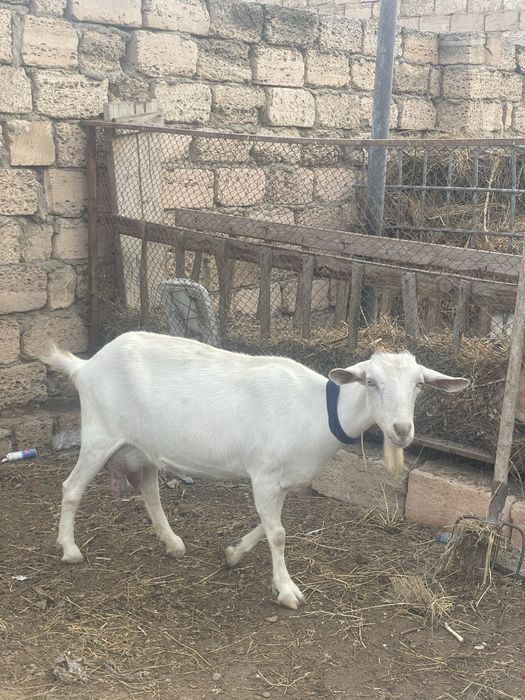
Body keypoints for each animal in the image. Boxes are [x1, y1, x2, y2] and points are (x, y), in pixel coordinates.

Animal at [42, 332, 469, 609]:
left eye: (419, 385)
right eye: (370, 382)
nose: (401, 430)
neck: (316, 411)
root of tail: (85, 366)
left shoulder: (281, 481)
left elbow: (267, 526)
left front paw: (233, 554)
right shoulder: (264, 475)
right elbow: (278, 533)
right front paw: (287, 591)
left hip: (142, 447)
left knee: (149, 491)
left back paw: (172, 543)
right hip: (100, 434)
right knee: (71, 488)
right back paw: (69, 549)